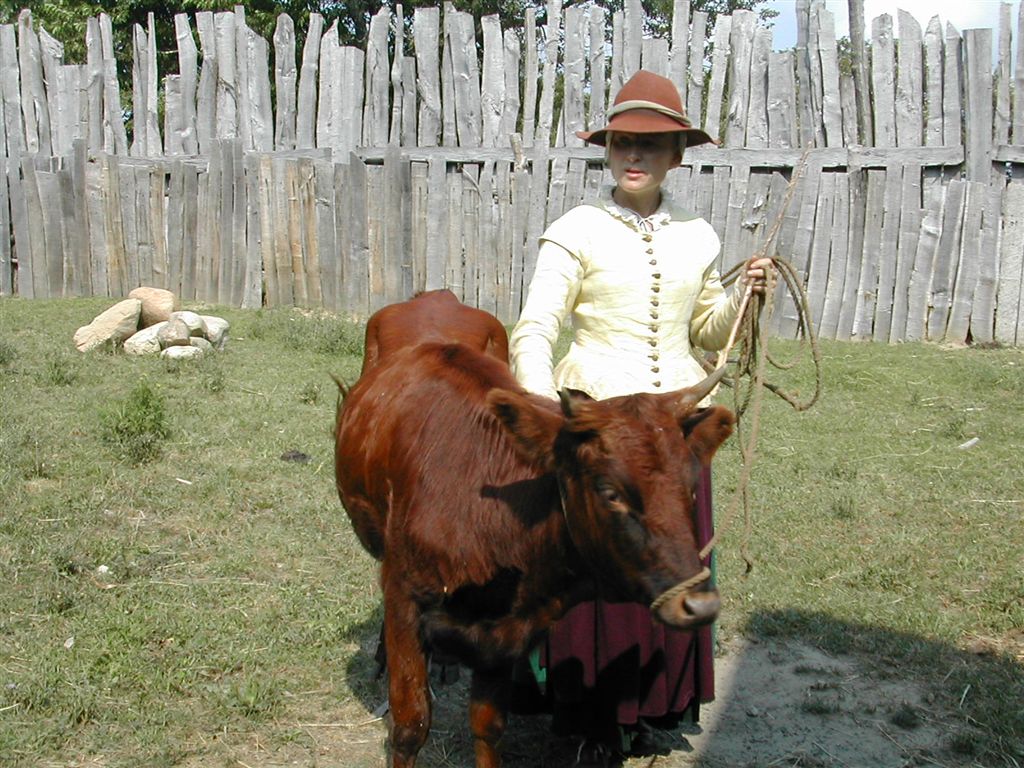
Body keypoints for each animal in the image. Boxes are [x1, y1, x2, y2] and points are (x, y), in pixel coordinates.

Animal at [334, 341, 734, 768]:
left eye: (691, 488)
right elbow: (411, 725)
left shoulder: (504, 633)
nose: (700, 605)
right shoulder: (404, 597)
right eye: (609, 491)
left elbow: (488, 726)